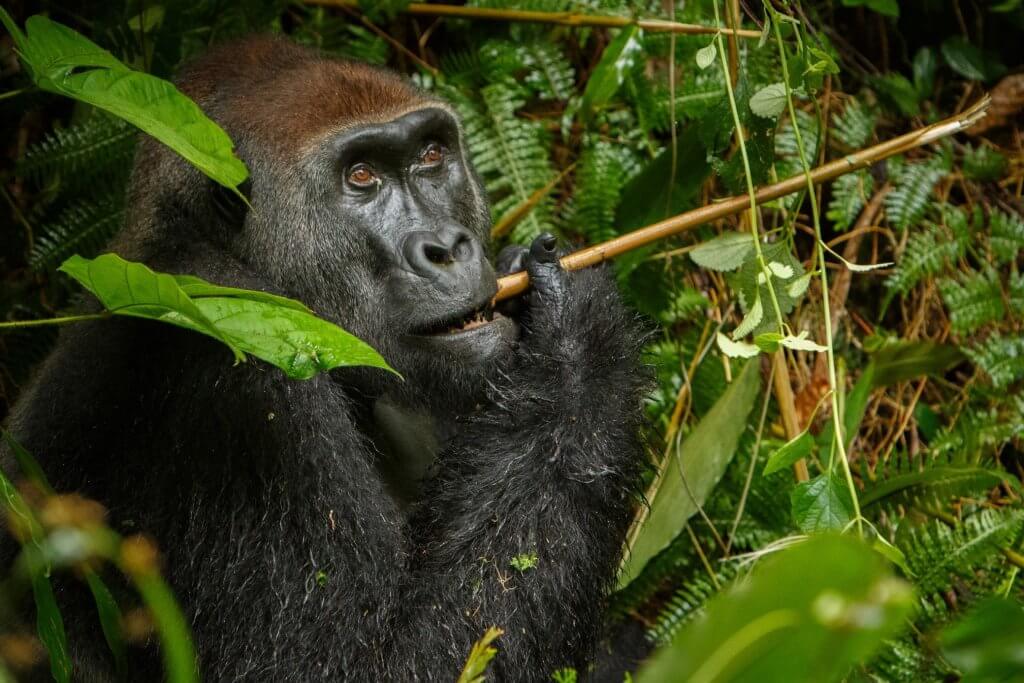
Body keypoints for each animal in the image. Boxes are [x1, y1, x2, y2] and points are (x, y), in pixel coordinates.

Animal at [1, 35, 647, 681]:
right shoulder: (234, 373)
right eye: (361, 177)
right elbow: (373, 664)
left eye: (431, 155)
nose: (447, 247)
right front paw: (578, 335)